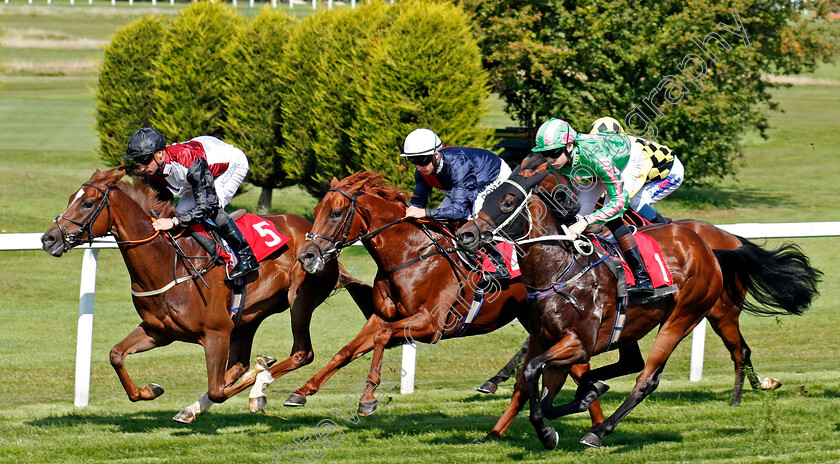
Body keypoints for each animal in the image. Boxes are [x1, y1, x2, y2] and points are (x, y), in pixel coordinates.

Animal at [39, 169, 374, 424]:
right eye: (71, 199)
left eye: (88, 203)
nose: (48, 238)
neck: (167, 263)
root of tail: (316, 234)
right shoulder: (158, 331)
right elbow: (116, 355)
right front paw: (150, 390)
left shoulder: (216, 331)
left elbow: (218, 389)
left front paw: (258, 384)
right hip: (248, 316)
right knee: (239, 363)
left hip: (299, 301)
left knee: (301, 353)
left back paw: (262, 388)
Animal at [280, 170, 604, 428]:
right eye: (317, 209)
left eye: (336, 213)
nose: (306, 256)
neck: (409, 255)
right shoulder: (382, 316)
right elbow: (346, 351)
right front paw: (301, 391)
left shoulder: (430, 325)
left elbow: (382, 338)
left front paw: (368, 398)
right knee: (577, 367)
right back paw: (595, 424)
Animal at [456, 169, 816, 448]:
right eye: (483, 199)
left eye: (507, 202)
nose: (466, 235)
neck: (560, 269)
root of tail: (712, 249)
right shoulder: (549, 339)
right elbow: (540, 390)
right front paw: (564, 409)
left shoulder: (578, 342)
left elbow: (533, 373)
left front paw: (548, 430)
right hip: (632, 327)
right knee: (632, 363)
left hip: (687, 316)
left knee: (650, 376)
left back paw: (599, 431)